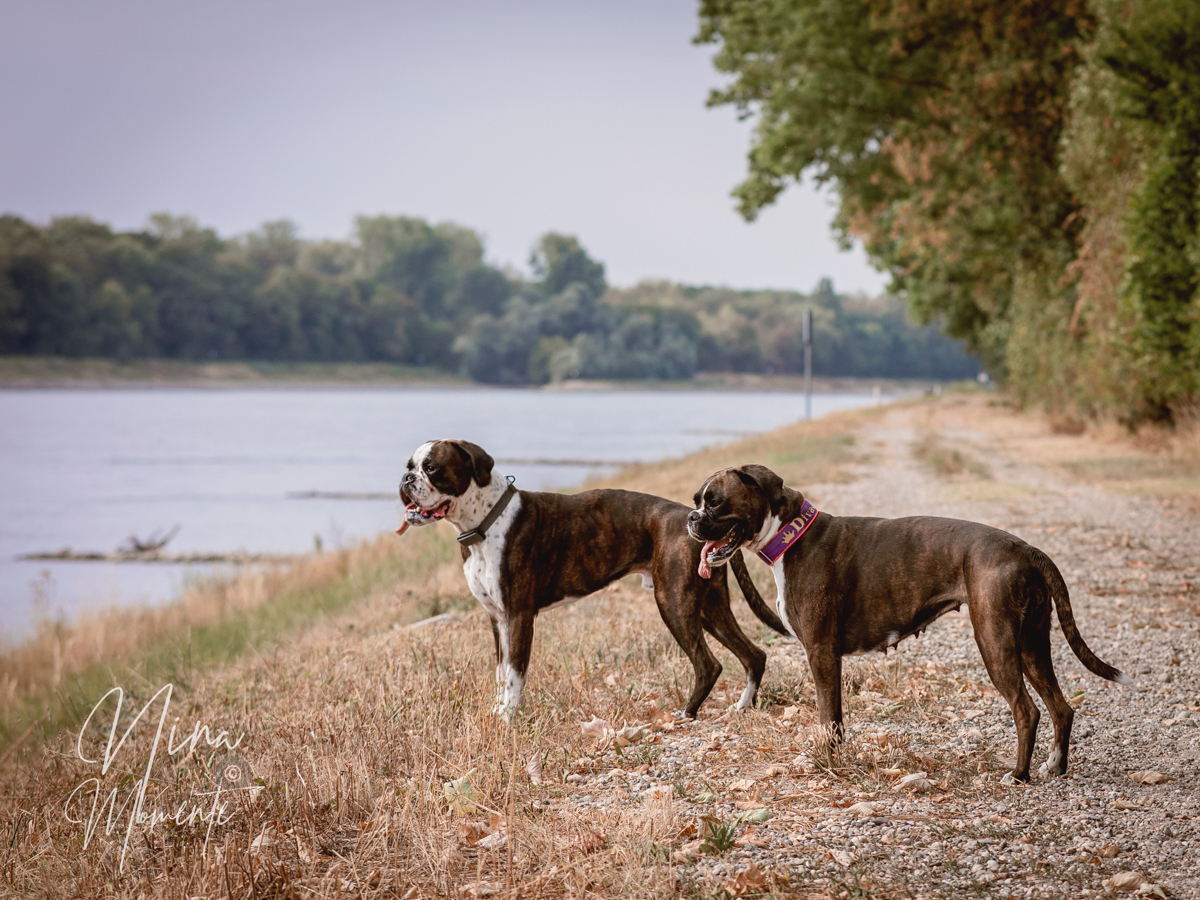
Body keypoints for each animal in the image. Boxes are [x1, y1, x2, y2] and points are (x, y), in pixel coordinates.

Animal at [393, 441, 787, 724]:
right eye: (409, 467)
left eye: (432, 468)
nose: (406, 481)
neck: (486, 521)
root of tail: (701, 523)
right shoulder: (497, 620)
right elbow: (501, 672)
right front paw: (498, 712)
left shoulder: (519, 617)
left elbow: (515, 674)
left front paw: (509, 721)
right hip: (709, 607)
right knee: (753, 655)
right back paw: (743, 707)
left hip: (674, 602)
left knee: (708, 664)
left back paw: (686, 714)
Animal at [691, 465, 1128, 782]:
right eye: (697, 501)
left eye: (715, 502)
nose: (691, 519)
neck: (789, 535)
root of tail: (1026, 549)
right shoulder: (828, 657)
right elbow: (835, 718)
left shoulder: (821, 653)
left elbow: (828, 716)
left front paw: (826, 762)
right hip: (1033, 645)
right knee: (1061, 707)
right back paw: (1055, 767)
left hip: (997, 642)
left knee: (1027, 710)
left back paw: (1018, 775)